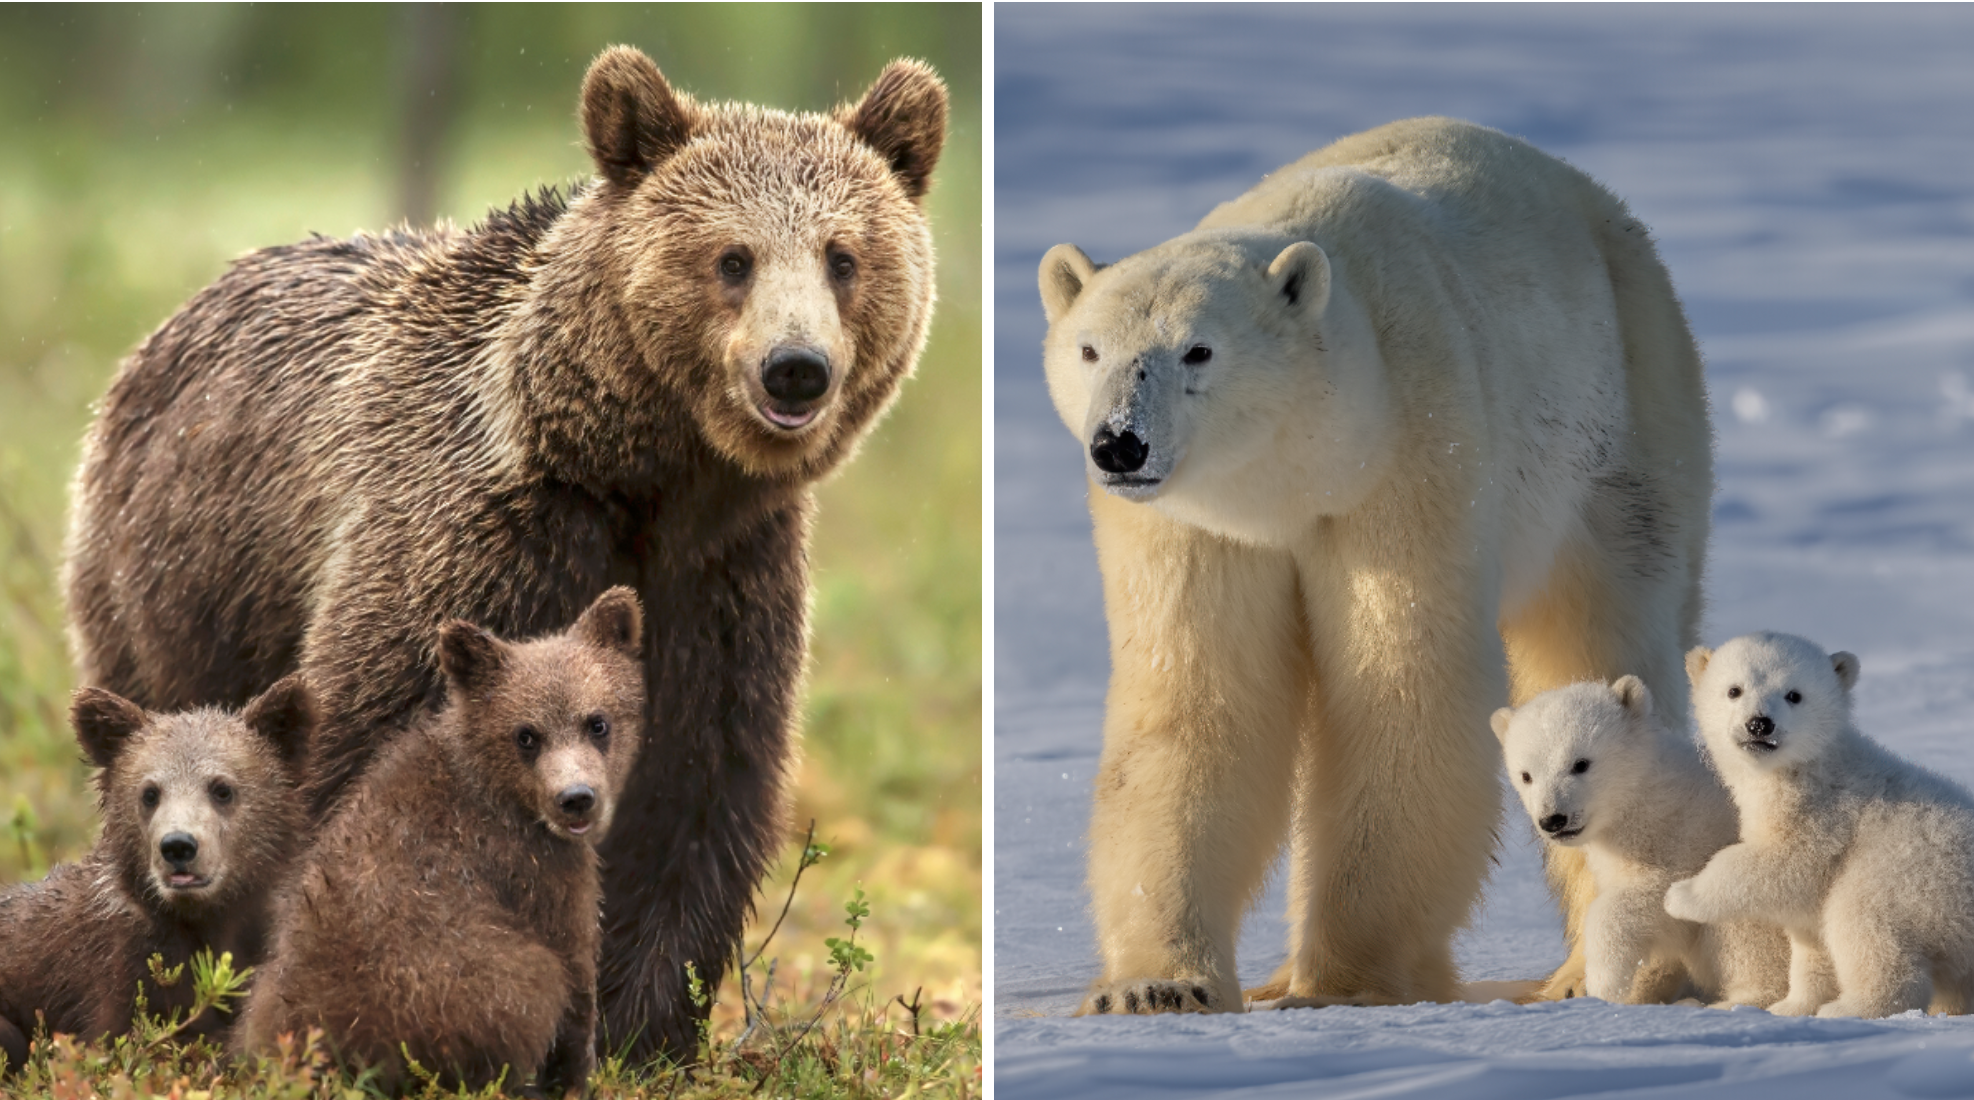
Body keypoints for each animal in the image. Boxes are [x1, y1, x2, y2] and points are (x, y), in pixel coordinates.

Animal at [237, 587, 645, 1094]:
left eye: (597, 722)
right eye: (526, 735)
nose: (576, 799)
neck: (500, 790)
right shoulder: (535, 873)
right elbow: (576, 969)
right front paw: (579, 1075)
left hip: (275, 989)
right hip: (471, 978)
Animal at [1037, 117, 1712, 1014]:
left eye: (1199, 350)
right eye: (1089, 349)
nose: (1119, 443)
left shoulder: (1411, 452)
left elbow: (1401, 692)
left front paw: (1342, 984)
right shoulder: (1196, 525)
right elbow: (1197, 704)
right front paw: (1155, 986)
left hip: (1624, 426)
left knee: (1602, 636)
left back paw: (1599, 974)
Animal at [1492, 678, 1788, 1007]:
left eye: (1581, 763)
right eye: (1526, 775)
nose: (1553, 819)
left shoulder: (1688, 836)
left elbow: (1658, 899)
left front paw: (1605, 981)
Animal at [1666, 632, 1974, 1018]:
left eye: (1794, 694)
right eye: (1734, 689)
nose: (1759, 724)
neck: (1808, 767)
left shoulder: (1824, 816)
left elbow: (1781, 864)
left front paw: (1681, 895)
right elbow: (1810, 941)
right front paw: (1790, 1006)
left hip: (1912, 876)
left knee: (1861, 920)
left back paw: (1850, 1007)